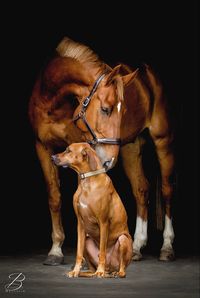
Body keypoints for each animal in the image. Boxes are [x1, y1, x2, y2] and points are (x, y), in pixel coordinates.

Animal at [29, 36, 175, 264]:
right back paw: (136, 246)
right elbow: (54, 197)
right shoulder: (42, 146)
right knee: (141, 189)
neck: (52, 99)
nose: (108, 162)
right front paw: (55, 249)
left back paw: (167, 247)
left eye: (123, 111)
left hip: (163, 141)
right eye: (106, 109)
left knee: (167, 190)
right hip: (130, 148)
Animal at [51, 143, 133, 278]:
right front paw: (75, 271)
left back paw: (114, 272)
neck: (87, 181)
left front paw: (100, 271)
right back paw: (85, 273)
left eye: (68, 150)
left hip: (123, 239)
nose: (52, 157)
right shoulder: (80, 224)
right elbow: (78, 253)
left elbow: (103, 251)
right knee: (91, 269)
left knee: (122, 266)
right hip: (88, 240)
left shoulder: (103, 222)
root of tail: (109, 269)